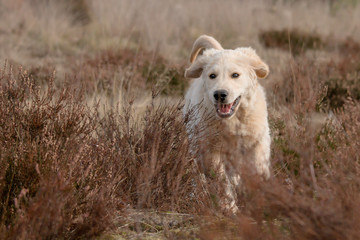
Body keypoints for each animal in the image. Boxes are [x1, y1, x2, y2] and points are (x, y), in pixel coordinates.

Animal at [183, 35, 270, 212]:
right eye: (212, 76)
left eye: (235, 75)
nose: (220, 94)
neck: (232, 121)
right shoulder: (212, 151)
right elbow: (222, 182)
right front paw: (231, 209)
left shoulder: (257, 143)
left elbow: (257, 171)